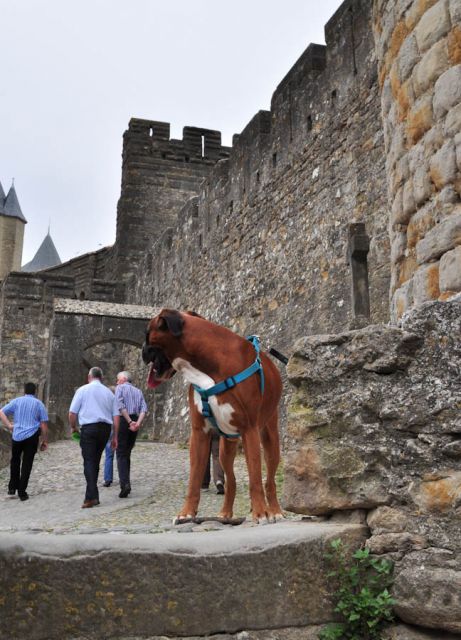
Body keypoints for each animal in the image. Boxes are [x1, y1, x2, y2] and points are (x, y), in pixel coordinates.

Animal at [142, 310, 282, 524]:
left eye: (146, 334)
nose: (142, 350)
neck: (206, 367)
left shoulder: (249, 430)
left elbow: (256, 478)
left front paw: (261, 513)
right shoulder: (199, 433)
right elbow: (194, 480)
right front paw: (186, 513)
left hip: (269, 441)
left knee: (269, 480)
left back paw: (274, 510)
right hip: (226, 447)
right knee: (231, 481)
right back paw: (225, 513)